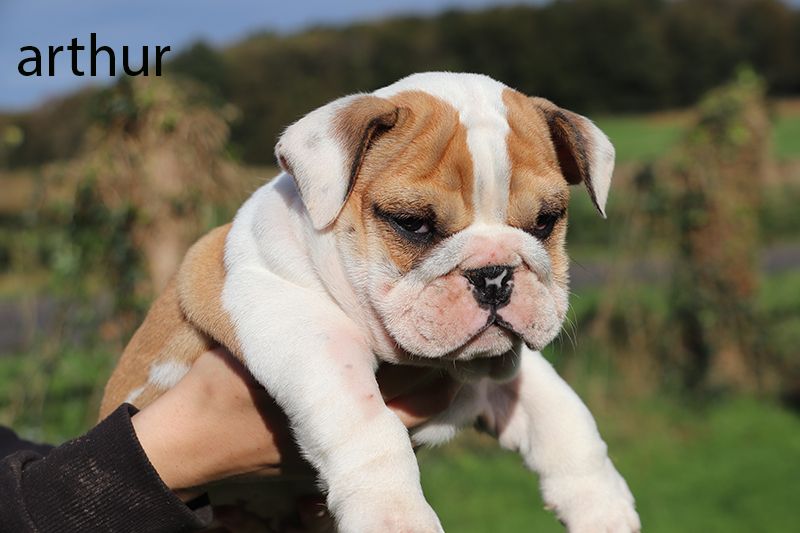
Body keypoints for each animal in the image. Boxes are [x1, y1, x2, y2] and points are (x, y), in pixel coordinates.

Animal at [101, 71, 636, 532]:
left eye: (545, 221)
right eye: (413, 223)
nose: (494, 274)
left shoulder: (504, 370)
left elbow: (563, 413)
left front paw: (602, 504)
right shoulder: (297, 324)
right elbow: (367, 424)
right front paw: (396, 517)